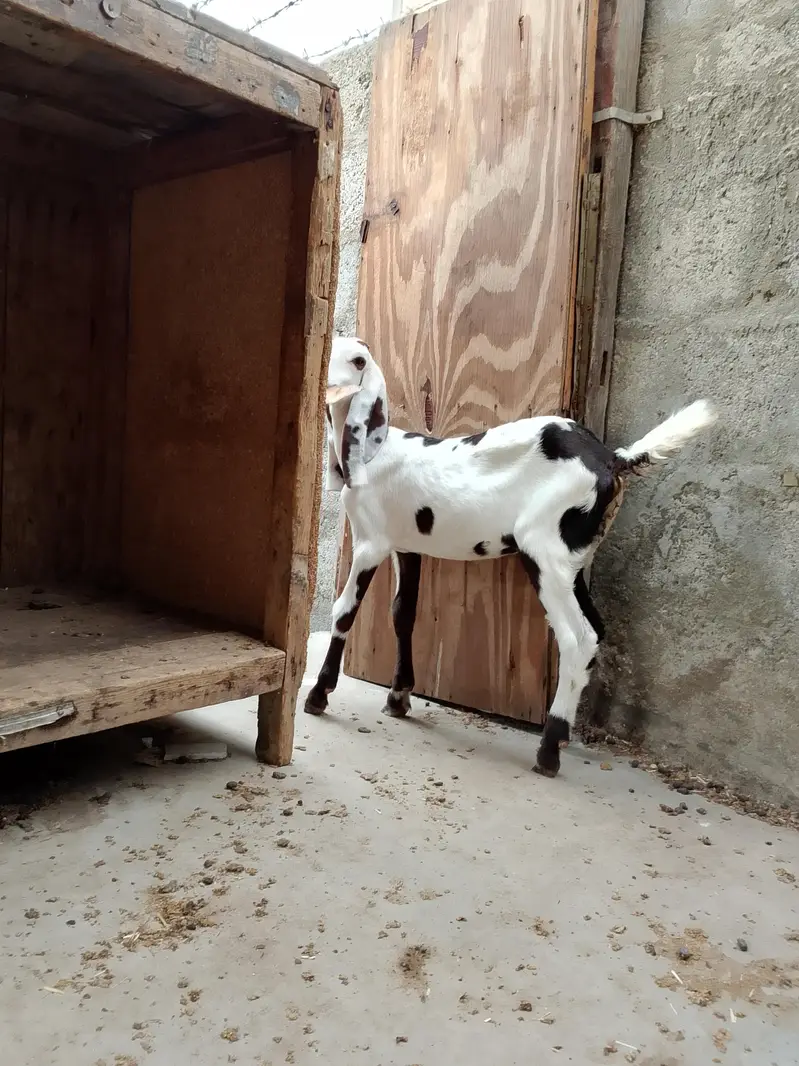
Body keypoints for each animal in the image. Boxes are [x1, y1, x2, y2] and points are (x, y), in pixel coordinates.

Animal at [307, 337, 717, 777]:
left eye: (358, 360)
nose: (321, 376)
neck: (378, 453)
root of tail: (611, 458)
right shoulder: (407, 545)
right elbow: (403, 613)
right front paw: (398, 697)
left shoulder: (371, 542)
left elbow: (345, 611)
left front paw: (319, 695)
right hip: (573, 561)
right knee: (596, 629)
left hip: (545, 552)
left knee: (577, 637)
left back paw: (550, 750)